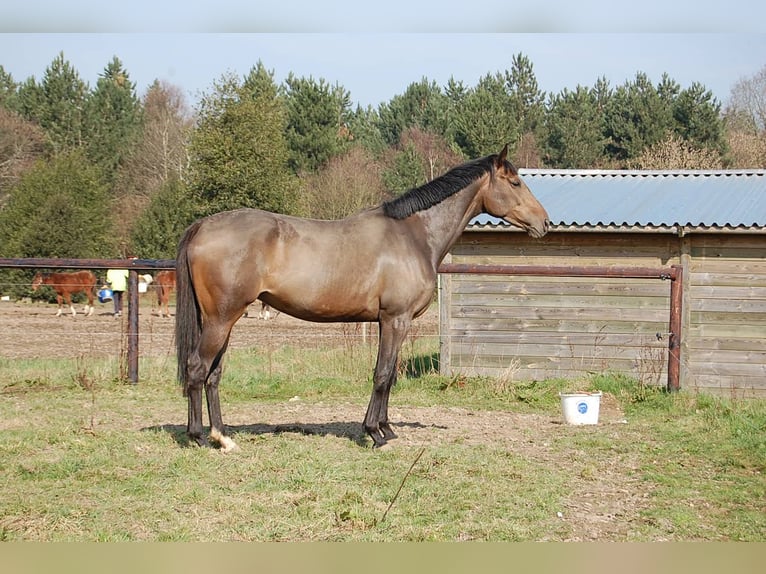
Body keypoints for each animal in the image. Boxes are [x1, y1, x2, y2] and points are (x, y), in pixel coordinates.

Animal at [176, 145, 552, 454]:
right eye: (515, 183)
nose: (545, 223)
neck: (413, 235)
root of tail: (202, 226)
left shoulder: (392, 322)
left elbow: (390, 374)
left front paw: (386, 428)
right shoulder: (395, 319)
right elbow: (382, 373)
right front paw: (375, 433)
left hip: (222, 320)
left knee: (213, 375)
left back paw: (223, 437)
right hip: (221, 319)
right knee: (197, 369)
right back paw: (198, 437)